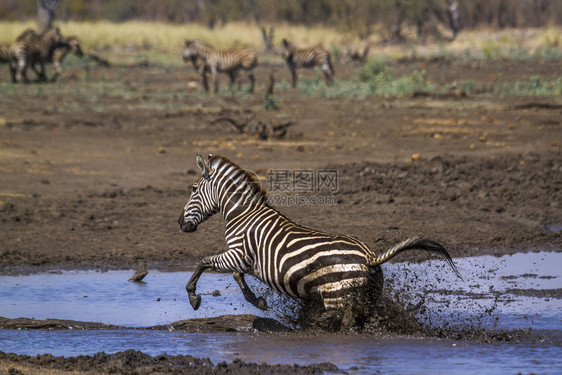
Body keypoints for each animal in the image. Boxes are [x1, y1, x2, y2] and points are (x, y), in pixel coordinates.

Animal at [177, 154, 458, 330]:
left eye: (193, 189)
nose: (180, 223)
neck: (243, 214)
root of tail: (369, 256)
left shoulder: (238, 254)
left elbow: (204, 262)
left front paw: (193, 298)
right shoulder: (242, 259)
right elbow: (236, 275)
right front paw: (259, 302)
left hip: (337, 295)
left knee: (345, 324)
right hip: (370, 294)